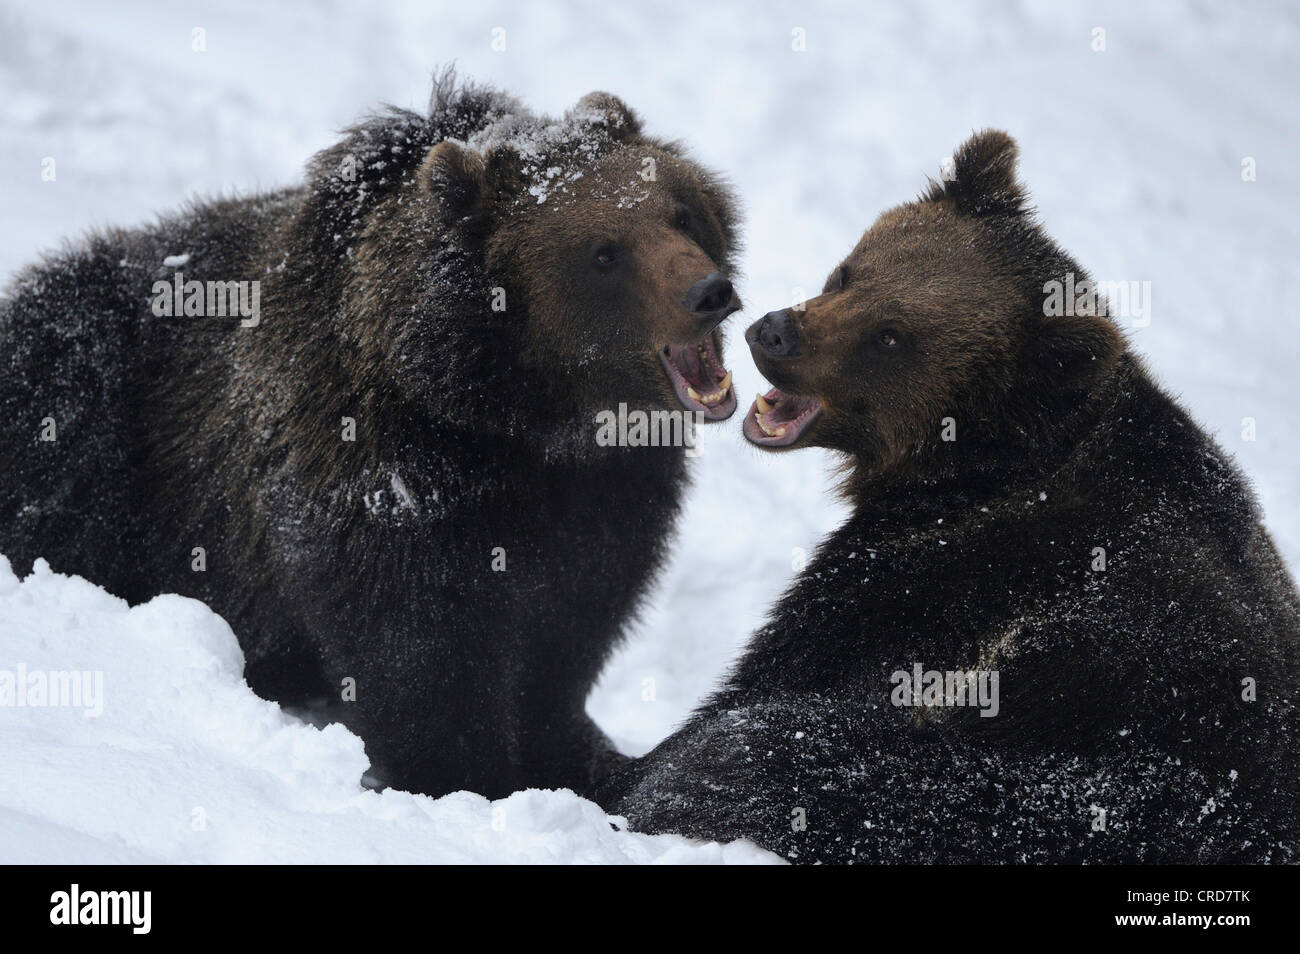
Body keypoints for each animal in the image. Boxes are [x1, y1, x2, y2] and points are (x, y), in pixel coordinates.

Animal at [0, 74, 743, 805]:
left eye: (681, 212)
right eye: (603, 252)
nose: (710, 291)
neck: (516, 419)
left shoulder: (607, 495)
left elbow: (570, 629)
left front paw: (579, 753)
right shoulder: (384, 474)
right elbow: (415, 648)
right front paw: (461, 777)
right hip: (85, 407)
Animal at [608, 128, 1300, 868]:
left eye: (892, 336)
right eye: (849, 273)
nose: (774, 332)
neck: (978, 466)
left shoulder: (941, 576)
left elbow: (768, 677)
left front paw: (637, 773)